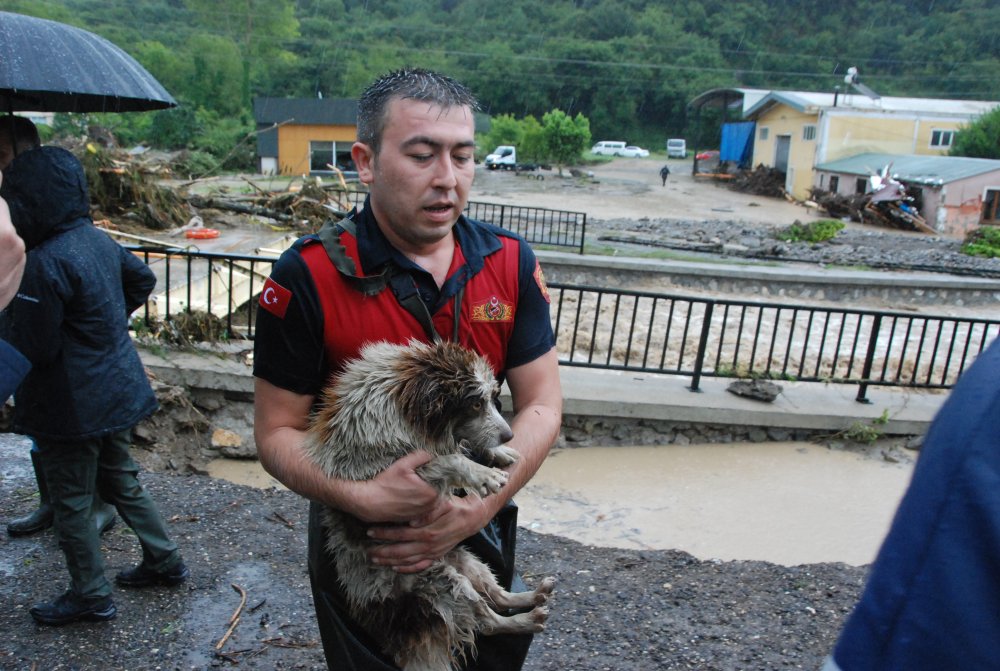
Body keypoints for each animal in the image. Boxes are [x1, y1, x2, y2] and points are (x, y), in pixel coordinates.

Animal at [304, 342, 556, 671]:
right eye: (475, 405)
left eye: (492, 398)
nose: (508, 435)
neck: (401, 406)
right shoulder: (390, 475)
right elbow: (450, 459)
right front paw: (482, 473)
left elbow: (461, 445)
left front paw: (497, 452)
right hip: (444, 586)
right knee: (487, 621)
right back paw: (526, 619)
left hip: (466, 561)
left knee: (498, 597)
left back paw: (532, 597)